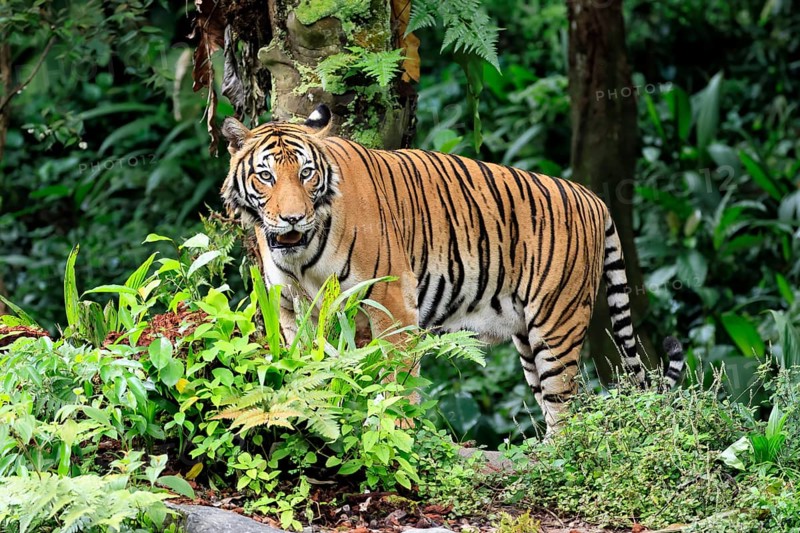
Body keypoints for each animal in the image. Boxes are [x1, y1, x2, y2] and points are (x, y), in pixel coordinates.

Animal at [220, 104, 685, 432]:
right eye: (265, 176)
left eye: (306, 173)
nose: (293, 219)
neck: (302, 255)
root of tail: (594, 198)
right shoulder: (289, 306)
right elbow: (305, 365)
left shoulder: (392, 300)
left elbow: (397, 376)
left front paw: (397, 429)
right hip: (526, 339)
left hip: (558, 323)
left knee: (567, 405)